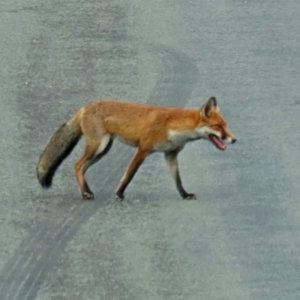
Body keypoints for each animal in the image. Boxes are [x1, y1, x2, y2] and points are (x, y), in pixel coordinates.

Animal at [36, 97, 236, 200]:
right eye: (218, 127)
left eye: (226, 126)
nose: (234, 139)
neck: (176, 128)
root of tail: (85, 107)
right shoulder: (143, 149)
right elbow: (129, 175)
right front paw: (119, 193)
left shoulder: (170, 154)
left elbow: (178, 180)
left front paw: (184, 194)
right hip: (98, 146)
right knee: (77, 165)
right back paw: (86, 193)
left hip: (103, 150)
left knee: (81, 168)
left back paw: (86, 191)